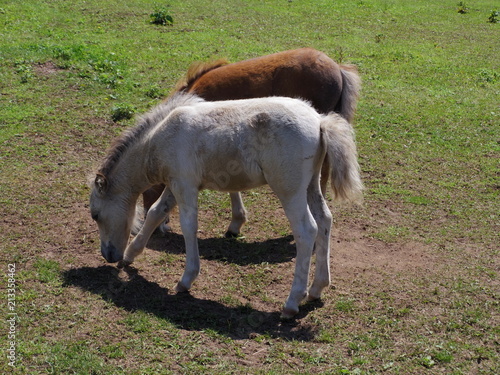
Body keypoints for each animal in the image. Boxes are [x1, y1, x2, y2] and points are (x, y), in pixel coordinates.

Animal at [90, 92, 362, 318]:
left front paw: (186, 280)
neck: (159, 140)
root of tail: (319, 120)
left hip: (290, 191)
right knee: (325, 220)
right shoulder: (175, 184)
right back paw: (317, 288)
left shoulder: (185, 185)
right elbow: (156, 212)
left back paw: (292, 302)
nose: (108, 255)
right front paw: (130, 255)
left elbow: (188, 225)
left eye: (95, 215)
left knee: (307, 231)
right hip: (311, 185)